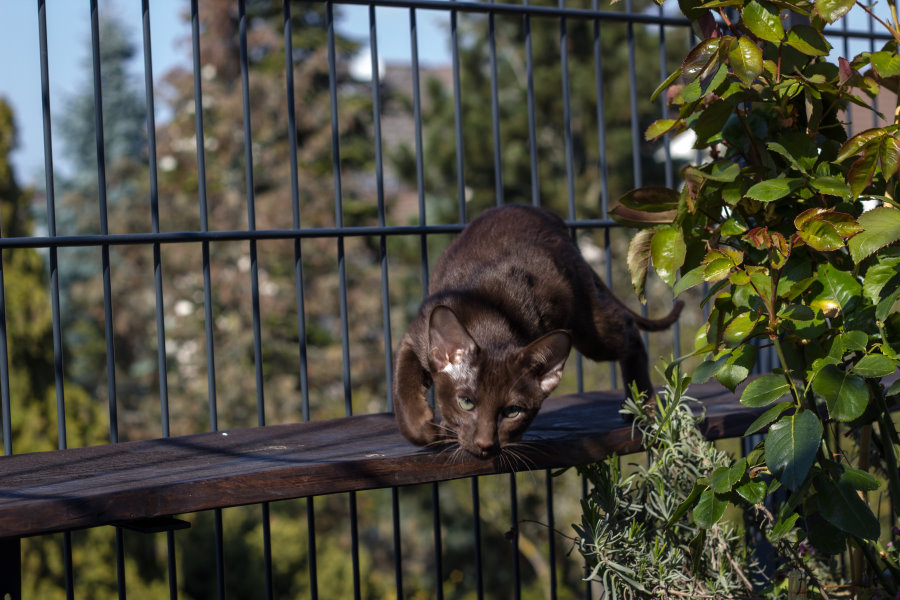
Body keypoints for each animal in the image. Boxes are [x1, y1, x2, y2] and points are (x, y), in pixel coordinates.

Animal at [394, 206, 684, 460]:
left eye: (512, 412)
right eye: (465, 402)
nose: (485, 445)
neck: (488, 319)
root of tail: (543, 212)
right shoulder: (414, 335)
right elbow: (403, 387)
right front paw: (428, 428)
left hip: (589, 326)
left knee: (630, 330)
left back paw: (643, 405)